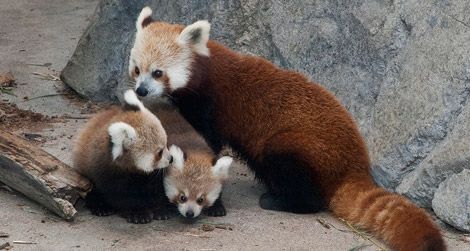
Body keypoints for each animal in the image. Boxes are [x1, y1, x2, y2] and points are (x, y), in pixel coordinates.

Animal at [129, 6, 444, 250]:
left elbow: (209, 146)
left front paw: (214, 200)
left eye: (158, 72)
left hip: (297, 147)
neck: (204, 70)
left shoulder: (210, 107)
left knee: (300, 182)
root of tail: (355, 165)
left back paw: (278, 200)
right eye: (137, 69)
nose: (142, 90)